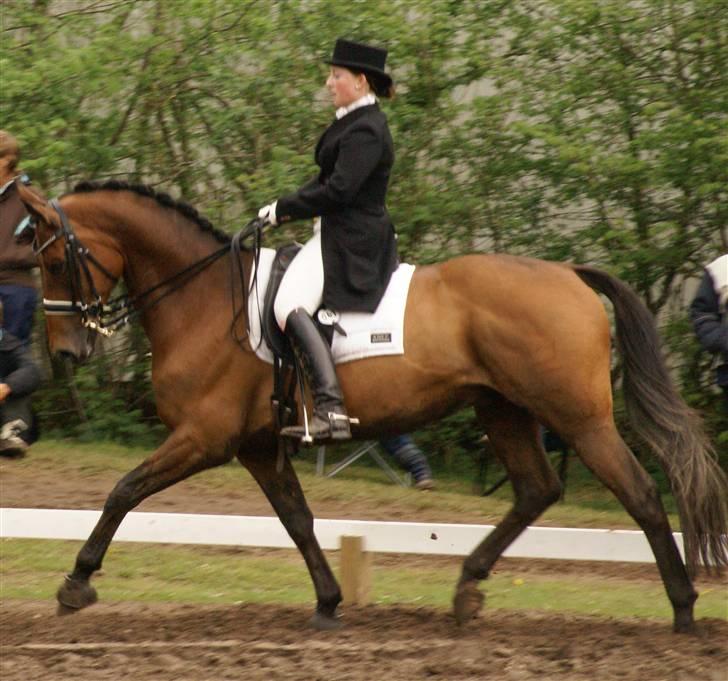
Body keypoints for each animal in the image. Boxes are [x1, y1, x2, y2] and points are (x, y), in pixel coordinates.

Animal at [18, 179, 728, 632]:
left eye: (53, 261)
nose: (69, 352)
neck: (202, 298)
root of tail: (567, 273)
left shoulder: (205, 437)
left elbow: (124, 489)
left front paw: (76, 583)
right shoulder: (257, 446)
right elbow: (297, 519)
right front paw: (329, 603)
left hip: (577, 417)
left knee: (641, 494)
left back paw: (683, 610)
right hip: (502, 410)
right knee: (536, 489)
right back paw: (467, 590)